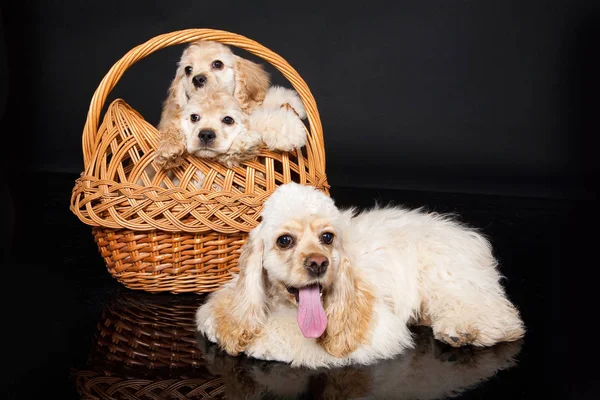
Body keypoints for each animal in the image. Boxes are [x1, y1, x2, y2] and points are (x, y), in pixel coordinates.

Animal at [197, 183, 524, 368]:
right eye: (285, 240)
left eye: (327, 237)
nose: (318, 263)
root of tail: (466, 234)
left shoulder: (376, 329)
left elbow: (289, 334)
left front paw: (262, 342)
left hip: (449, 278)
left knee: (496, 314)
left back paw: (464, 329)